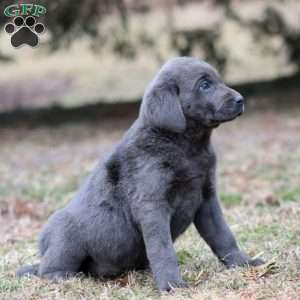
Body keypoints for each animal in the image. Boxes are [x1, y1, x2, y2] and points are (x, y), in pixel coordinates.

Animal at [17, 57, 264, 292]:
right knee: (49, 268)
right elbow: (162, 249)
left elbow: (223, 235)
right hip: (65, 234)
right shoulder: (152, 205)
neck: (188, 147)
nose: (241, 99)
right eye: (204, 85)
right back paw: (64, 276)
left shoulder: (207, 199)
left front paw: (244, 262)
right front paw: (172, 284)